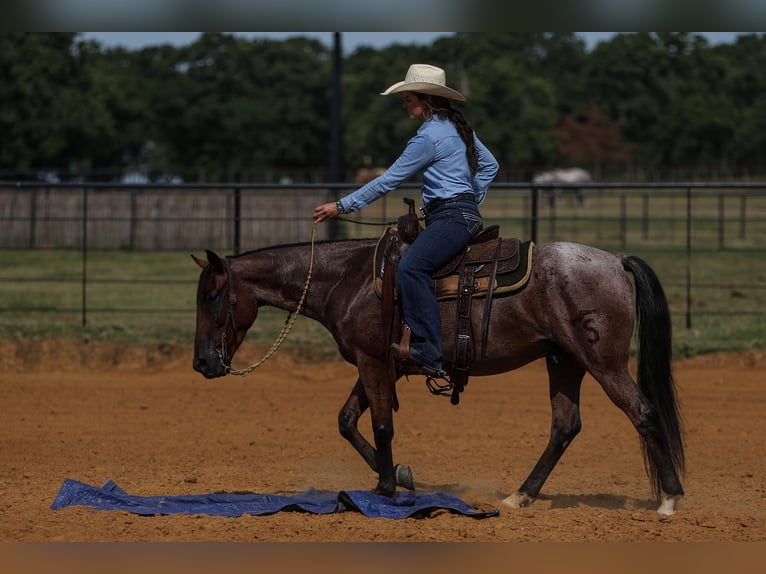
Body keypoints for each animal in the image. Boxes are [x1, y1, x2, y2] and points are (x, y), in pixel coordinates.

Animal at [195, 232, 688, 516]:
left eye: (213, 296)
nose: (202, 362)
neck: (351, 279)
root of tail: (615, 261)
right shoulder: (382, 365)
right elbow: (347, 420)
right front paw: (400, 476)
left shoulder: (374, 363)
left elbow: (380, 424)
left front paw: (387, 486)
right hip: (564, 362)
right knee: (565, 426)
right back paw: (521, 495)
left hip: (603, 362)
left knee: (642, 413)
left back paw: (669, 499)